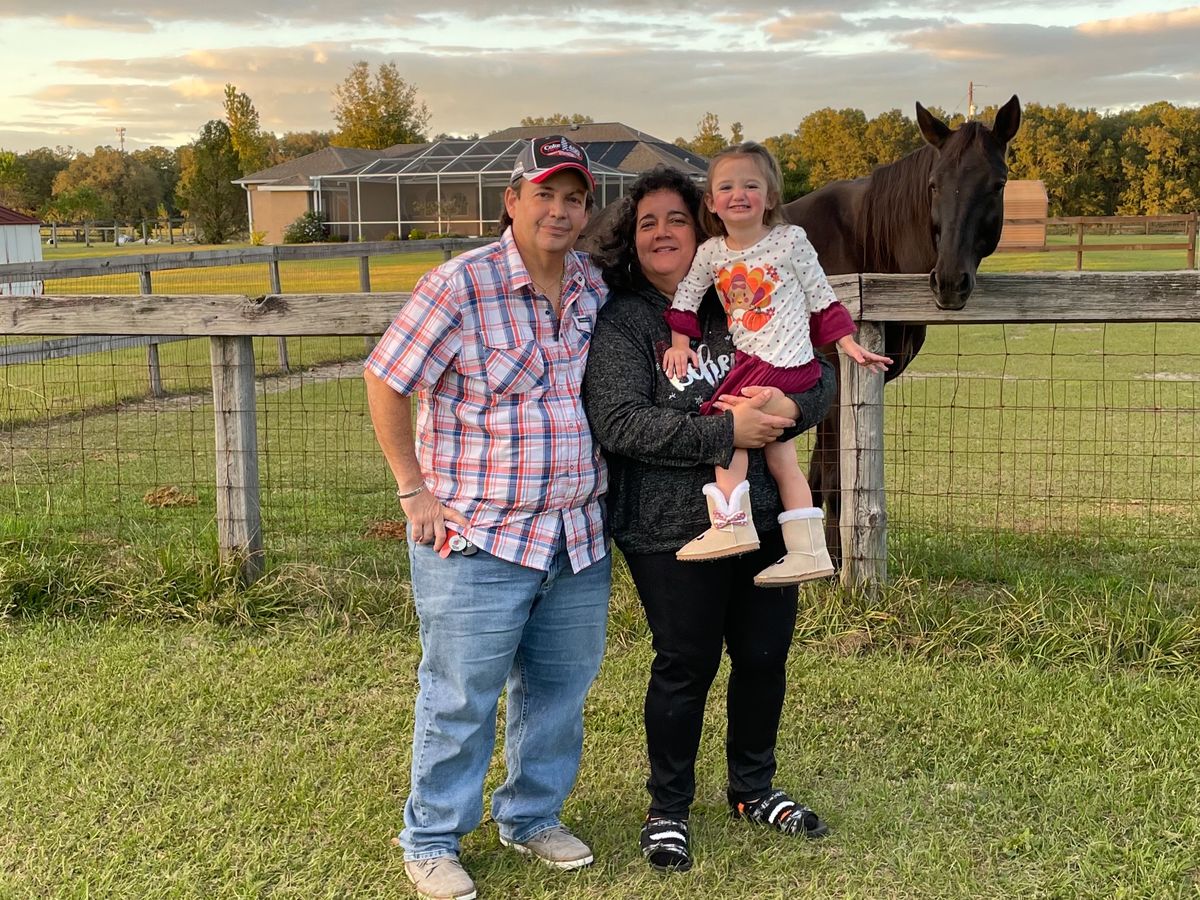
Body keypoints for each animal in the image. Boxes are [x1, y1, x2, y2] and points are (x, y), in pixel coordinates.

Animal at [782, 95, 1021, 563]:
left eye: (998, 184)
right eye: (933, 184)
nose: (949, 281)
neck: (863, 241)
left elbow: (820, 476)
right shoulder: (836, 385)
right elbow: (834, 478)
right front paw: (834, 566)